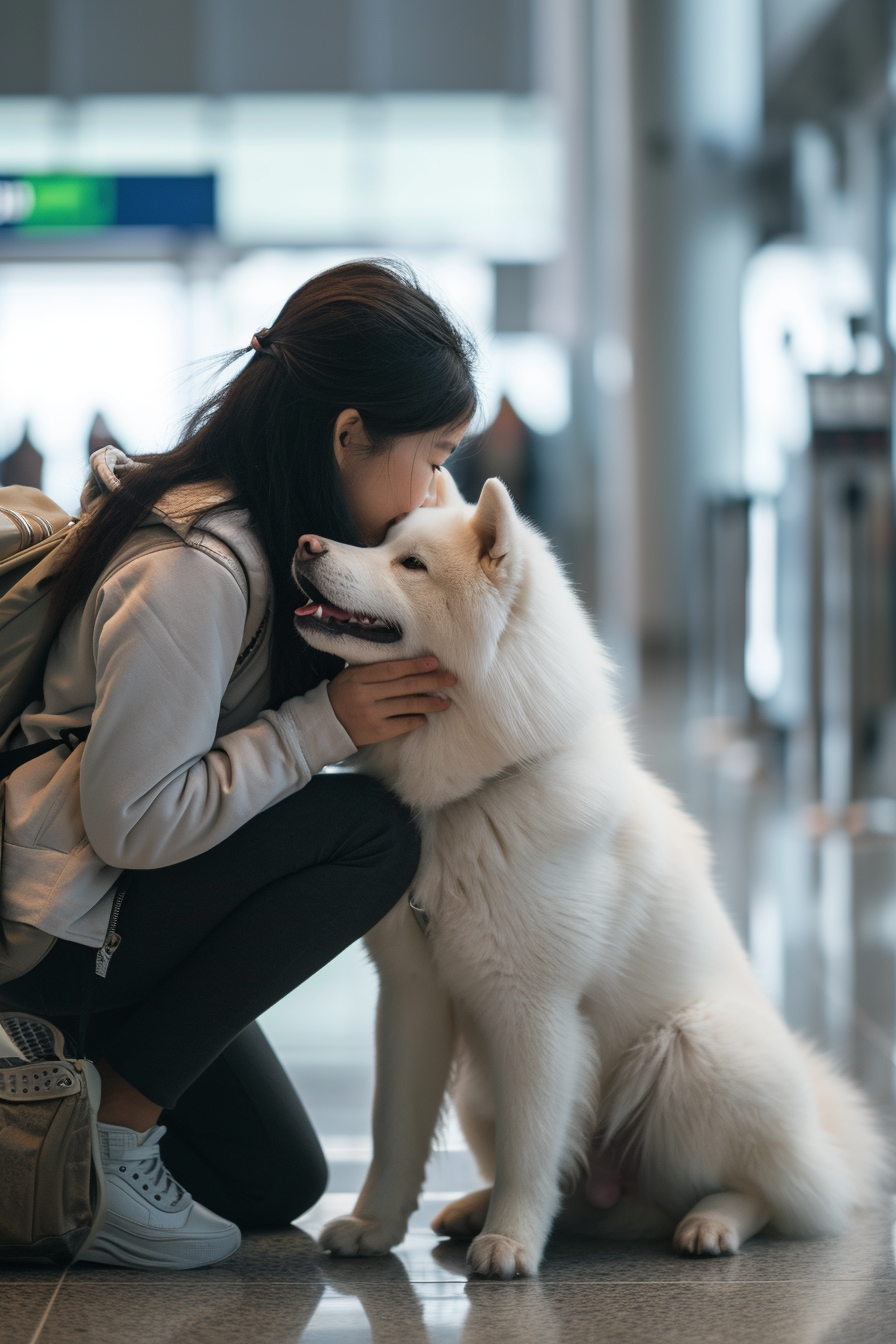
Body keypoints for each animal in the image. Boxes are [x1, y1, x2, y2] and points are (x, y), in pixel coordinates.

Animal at [291, 467, 886, 1274]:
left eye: (411, 564)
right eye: (381, 540)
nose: (306, 542)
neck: (466, 798)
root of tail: (823, 1142)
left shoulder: (534, 1010)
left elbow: (532, 1149)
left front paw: (511, 1243)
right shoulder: (414, 996)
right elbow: (397, 1134)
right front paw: (375, 1227)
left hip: (690, 1051)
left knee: (767, 1193)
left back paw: (711, 1224)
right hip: (482, 1087)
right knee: (583, 1192)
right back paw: (477, 1208)